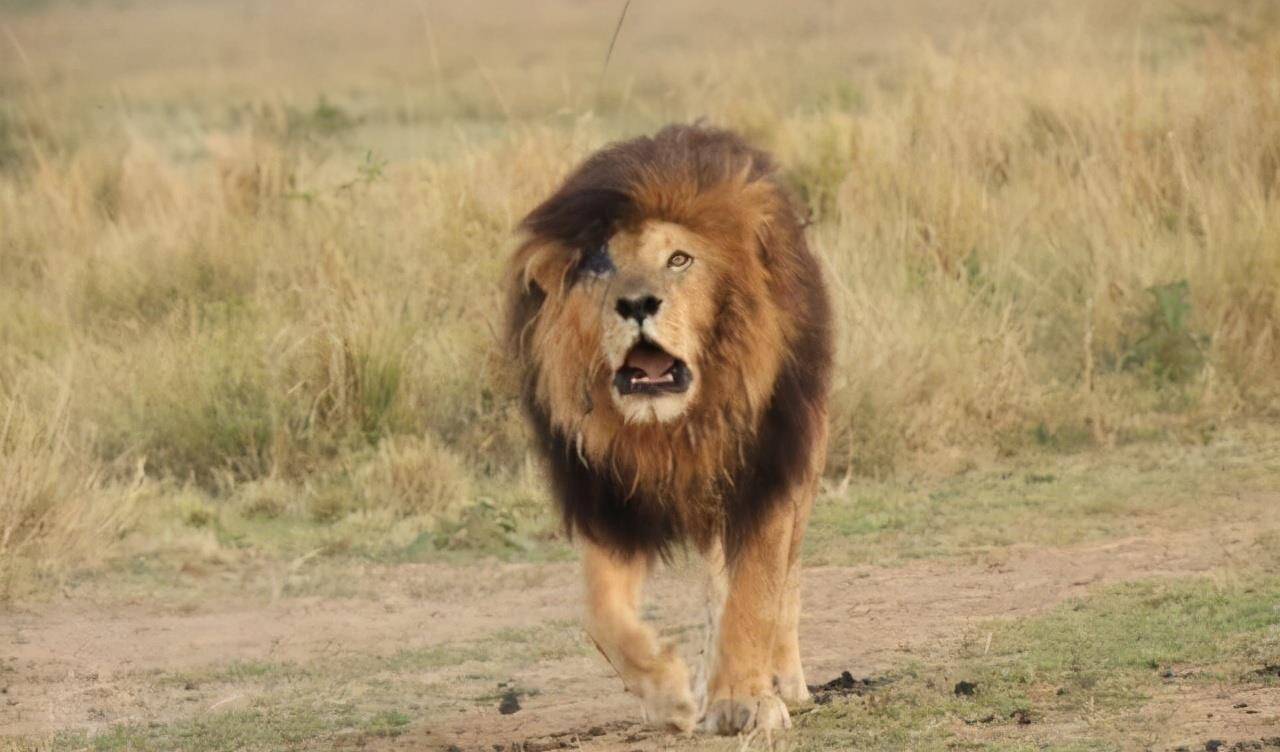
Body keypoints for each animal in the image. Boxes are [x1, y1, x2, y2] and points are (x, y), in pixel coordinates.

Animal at [499, 123, 829, 736]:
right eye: (600, 268)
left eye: (679, 259)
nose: (636, 304)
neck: (674, 428)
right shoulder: (608, 497)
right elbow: (601, 615)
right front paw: (668, 695)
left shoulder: (766, 476)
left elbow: (757, 596)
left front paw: (746, 701)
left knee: (784, 580)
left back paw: (784, 683)